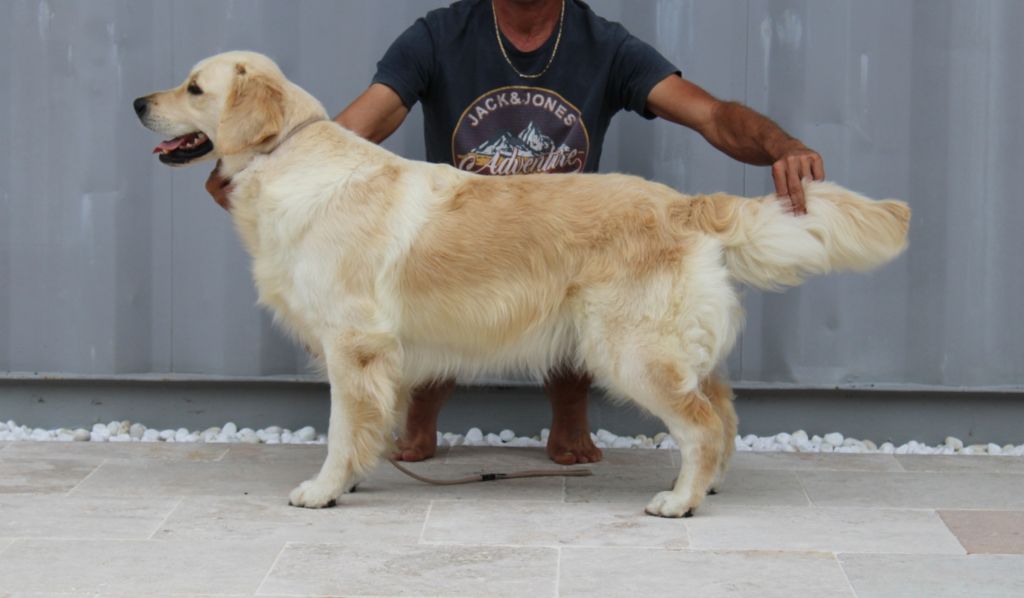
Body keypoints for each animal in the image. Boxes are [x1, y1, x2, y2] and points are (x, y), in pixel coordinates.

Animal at [132, 52, 909, 518]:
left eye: (194, 88)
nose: (139, 101)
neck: (285, 158)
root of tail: (687, 203)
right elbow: (365, 428)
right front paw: (351, 479)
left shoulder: (354, 343)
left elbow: (341, 428)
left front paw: (324, 490)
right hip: (674, 346)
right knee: (724, 410)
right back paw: (709, 483)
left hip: (630, 349)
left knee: (702, 421)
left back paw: (679, 501)